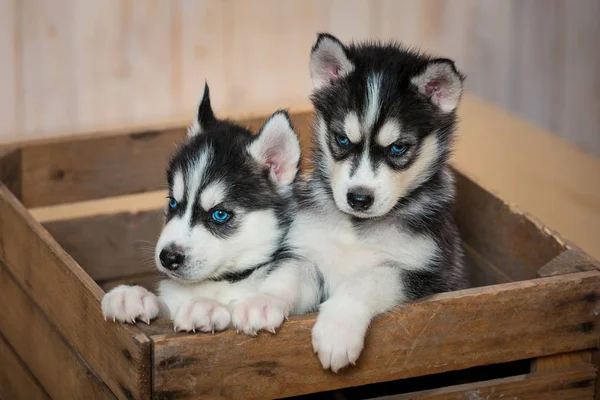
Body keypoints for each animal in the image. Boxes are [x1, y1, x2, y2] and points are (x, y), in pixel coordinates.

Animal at [101, 84, 322, 334]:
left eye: (219, 214)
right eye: (173, 203)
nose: (168, 257)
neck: (222, 281)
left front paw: (208, 306)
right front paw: (133, 296)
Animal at [248, 33, 468, 372]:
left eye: (398, 147)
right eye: (341, 139)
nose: (359, 198)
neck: (357, 229)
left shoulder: (425, 274)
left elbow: (366, 280)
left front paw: (337, 331)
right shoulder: (308, 254)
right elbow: (289, 273)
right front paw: (265, 300)